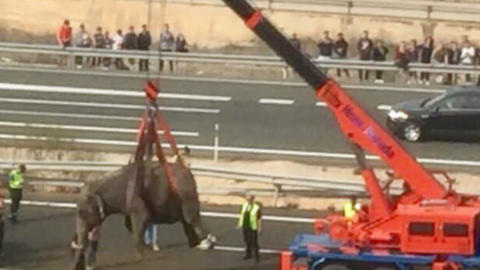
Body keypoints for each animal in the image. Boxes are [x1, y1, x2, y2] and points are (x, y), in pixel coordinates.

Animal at [72, 161, 217, 268]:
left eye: (83, 213)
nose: (81, 266)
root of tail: (190, 173)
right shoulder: (128, 204)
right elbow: (130, 224)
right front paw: (145, 249)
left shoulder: (136, 198)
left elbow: (141, 218)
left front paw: (141, 255)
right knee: (186, 222)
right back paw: (195, 245)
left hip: (186, 194)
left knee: (191, 218)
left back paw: (207, 244)